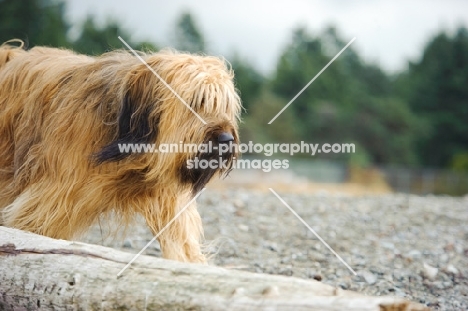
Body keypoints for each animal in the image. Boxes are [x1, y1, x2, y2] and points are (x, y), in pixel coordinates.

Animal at [0, 41, 241, 264]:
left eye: (225, 105)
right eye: (196, 101)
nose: (226, 139)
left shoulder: (169, 202)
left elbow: (182, 243)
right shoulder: (52, 195)